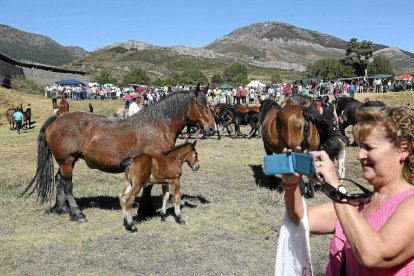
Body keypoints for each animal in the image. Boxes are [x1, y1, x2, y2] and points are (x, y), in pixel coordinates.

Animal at [23, 84, 215, 222]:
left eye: (209, 104)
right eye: (200, 105)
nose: (212, 128)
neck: (157, 125)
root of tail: (57, 119)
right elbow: (147, 188)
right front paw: (145, 211)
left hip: (67, 162)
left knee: (58, 180)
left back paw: (61, 208)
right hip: (67, 161)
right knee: (67, 186)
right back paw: (77, 214)